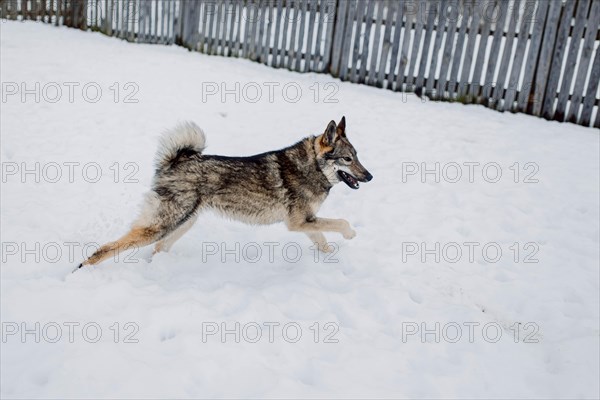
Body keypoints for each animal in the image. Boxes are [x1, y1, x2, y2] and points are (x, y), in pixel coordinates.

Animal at [74, 116, 370, 272]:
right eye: (347, 159)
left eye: (357, 156)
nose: (370, 176)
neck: (312, 166)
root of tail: (174, 161)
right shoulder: (298, 223)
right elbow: (341, 223)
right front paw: (351, 234)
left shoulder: (307, 223)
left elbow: (323, 241)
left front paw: (331, 260)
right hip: (162, 225)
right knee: (106, 249)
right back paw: (82, 272)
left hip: (184, 222)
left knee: (159, 248)